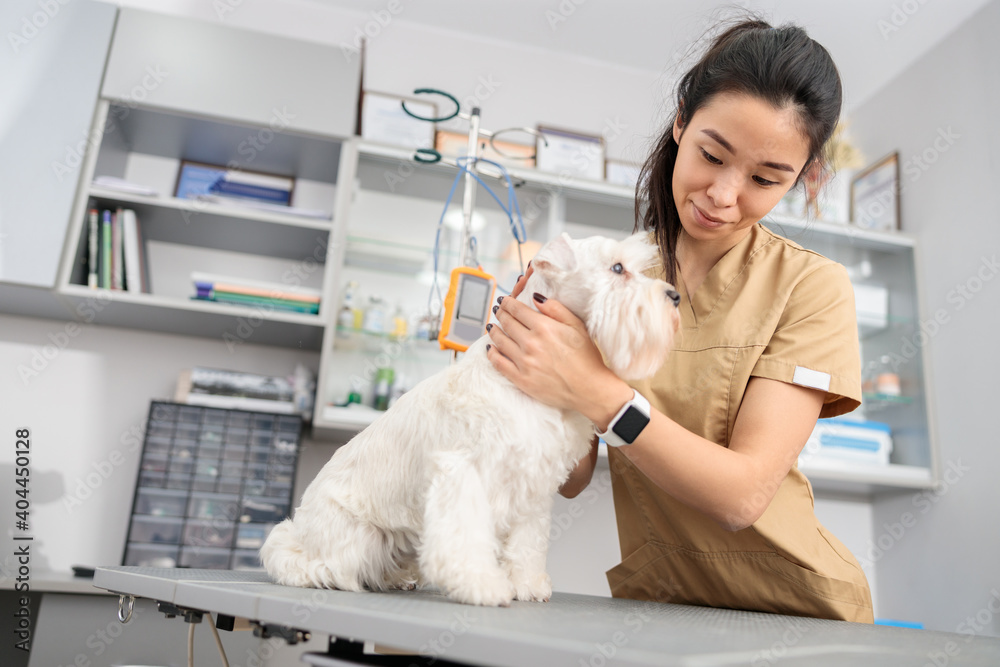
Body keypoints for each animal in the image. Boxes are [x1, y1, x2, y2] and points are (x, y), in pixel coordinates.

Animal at [260, 232, 680, 608]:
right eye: (617, 268)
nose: (673, 296)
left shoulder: (533, 487)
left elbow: (527, 544)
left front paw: (528, 583)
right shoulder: (464, 475)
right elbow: (466, 538)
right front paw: (483, 586)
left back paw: (399, 577)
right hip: (352, 538)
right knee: (298, 556)